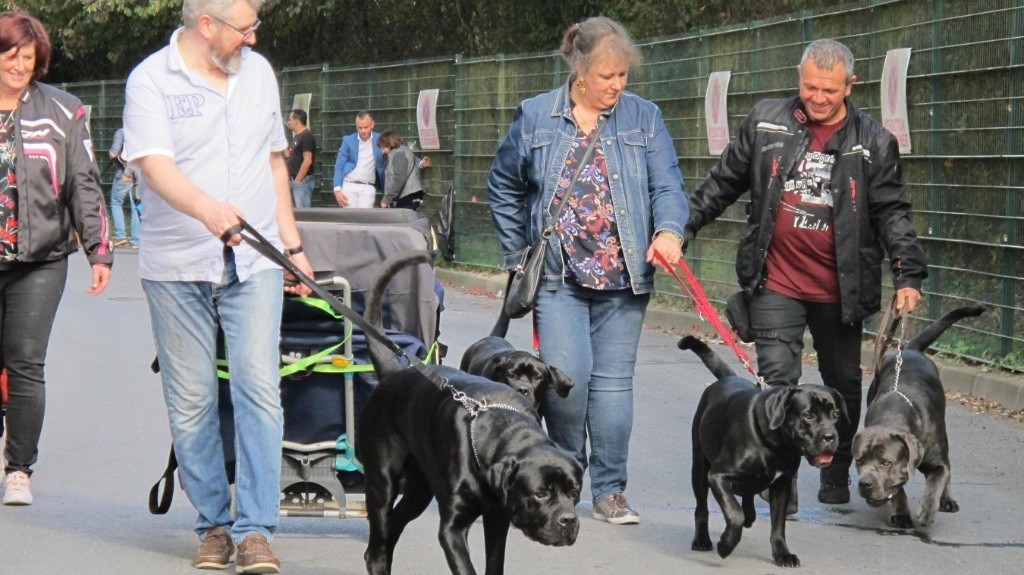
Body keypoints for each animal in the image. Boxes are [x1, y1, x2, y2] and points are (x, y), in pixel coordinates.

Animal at [358, 250, 585, 572]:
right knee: (376, 543)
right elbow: (465, 566)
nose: (568, 520)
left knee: (395, 525)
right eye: (540, 493)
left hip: (419, 489)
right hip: (381, 481)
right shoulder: (452, 527)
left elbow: (494, 562)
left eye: (574, 492)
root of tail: (394, 372)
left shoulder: (498, 518)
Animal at [679, 333, 847, 564]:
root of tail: (725, 379)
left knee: (747, 495)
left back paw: (750, 515)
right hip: (700, 469)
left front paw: (782, 553)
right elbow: (734, 513)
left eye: (835, 414)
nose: (830, 437)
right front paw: (726, 545)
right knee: (702, 507)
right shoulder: (718, 476)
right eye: (808, 415)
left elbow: (778, 525)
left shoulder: (782, 485)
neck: (775, 446)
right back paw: (702, 540)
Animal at [847, 304, 983, 527]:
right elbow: (898, 490)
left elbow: (937, 481)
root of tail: (909, 349)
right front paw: (901, 513)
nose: (865, 483)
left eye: (886, 462)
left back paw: (947, 500)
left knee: (948, 470)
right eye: (859, 461)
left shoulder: (937, 461)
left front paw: (927, 510)